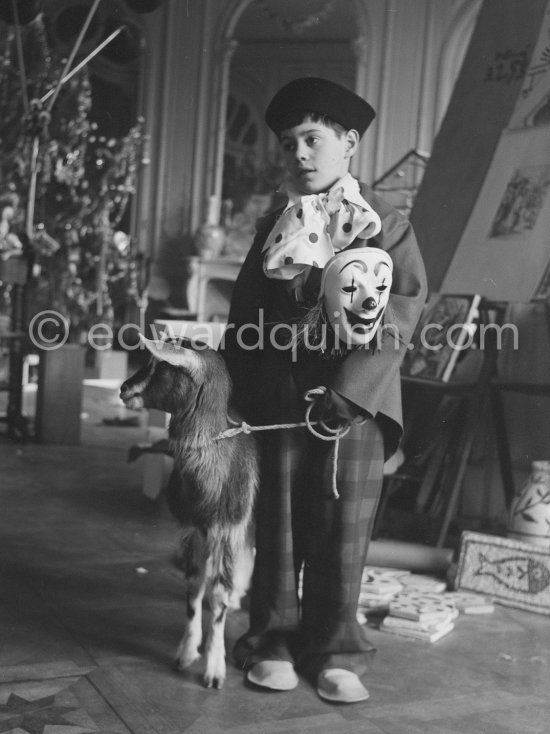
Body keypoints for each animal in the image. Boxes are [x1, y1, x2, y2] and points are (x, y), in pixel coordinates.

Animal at [121, 336, 258, 692]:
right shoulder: (193, 529)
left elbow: (219, 595)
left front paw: (215, 670)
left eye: (162, 366)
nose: (123, 389)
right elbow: (194, 587)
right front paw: (185, 653)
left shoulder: (228, 530)